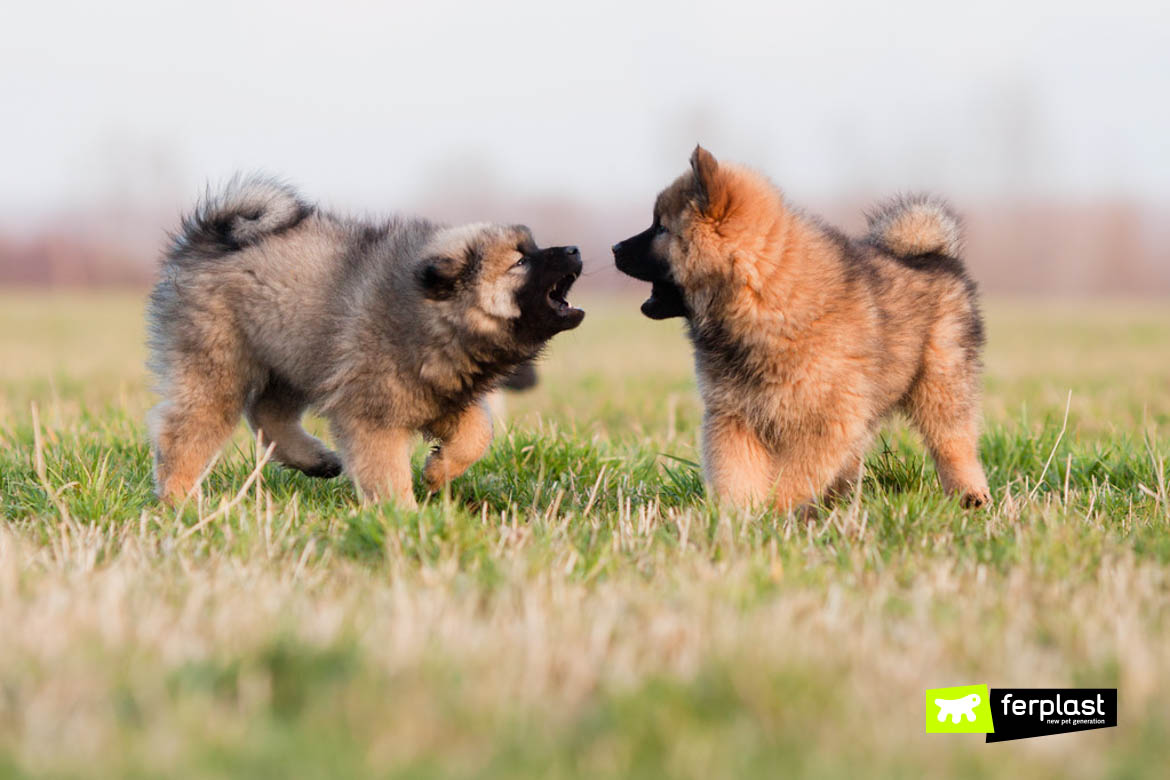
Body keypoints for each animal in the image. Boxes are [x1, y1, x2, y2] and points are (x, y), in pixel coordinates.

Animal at [146, 176, 585, 507]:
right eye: (520, 261)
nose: (575, 249)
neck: (432, 314)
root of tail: (209, 236)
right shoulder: (373, 413)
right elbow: (387, 470)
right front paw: (403, 518)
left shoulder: (438, 393)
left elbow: (478, 434)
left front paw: (437, 471)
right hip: (219, 365)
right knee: (187, 432)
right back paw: (182, 500)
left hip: (297, 353)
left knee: (267, 413)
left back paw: (316, 461)